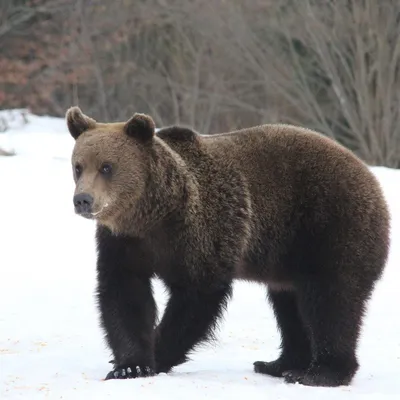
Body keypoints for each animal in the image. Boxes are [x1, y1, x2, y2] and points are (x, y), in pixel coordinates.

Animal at [66, 106, 390, 388]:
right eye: (78, 166)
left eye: (107, 166)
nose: (83, 199)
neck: (153, 216)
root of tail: (372, 180)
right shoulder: (124, 244)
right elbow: (124, 296)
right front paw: (130, 365)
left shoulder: (202, 233)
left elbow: (197, 296)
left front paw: (157, 354)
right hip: (288, 259)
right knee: (290, 305)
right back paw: (279, 364)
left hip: (328, 229)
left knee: (330, 302)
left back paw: (321, 372)